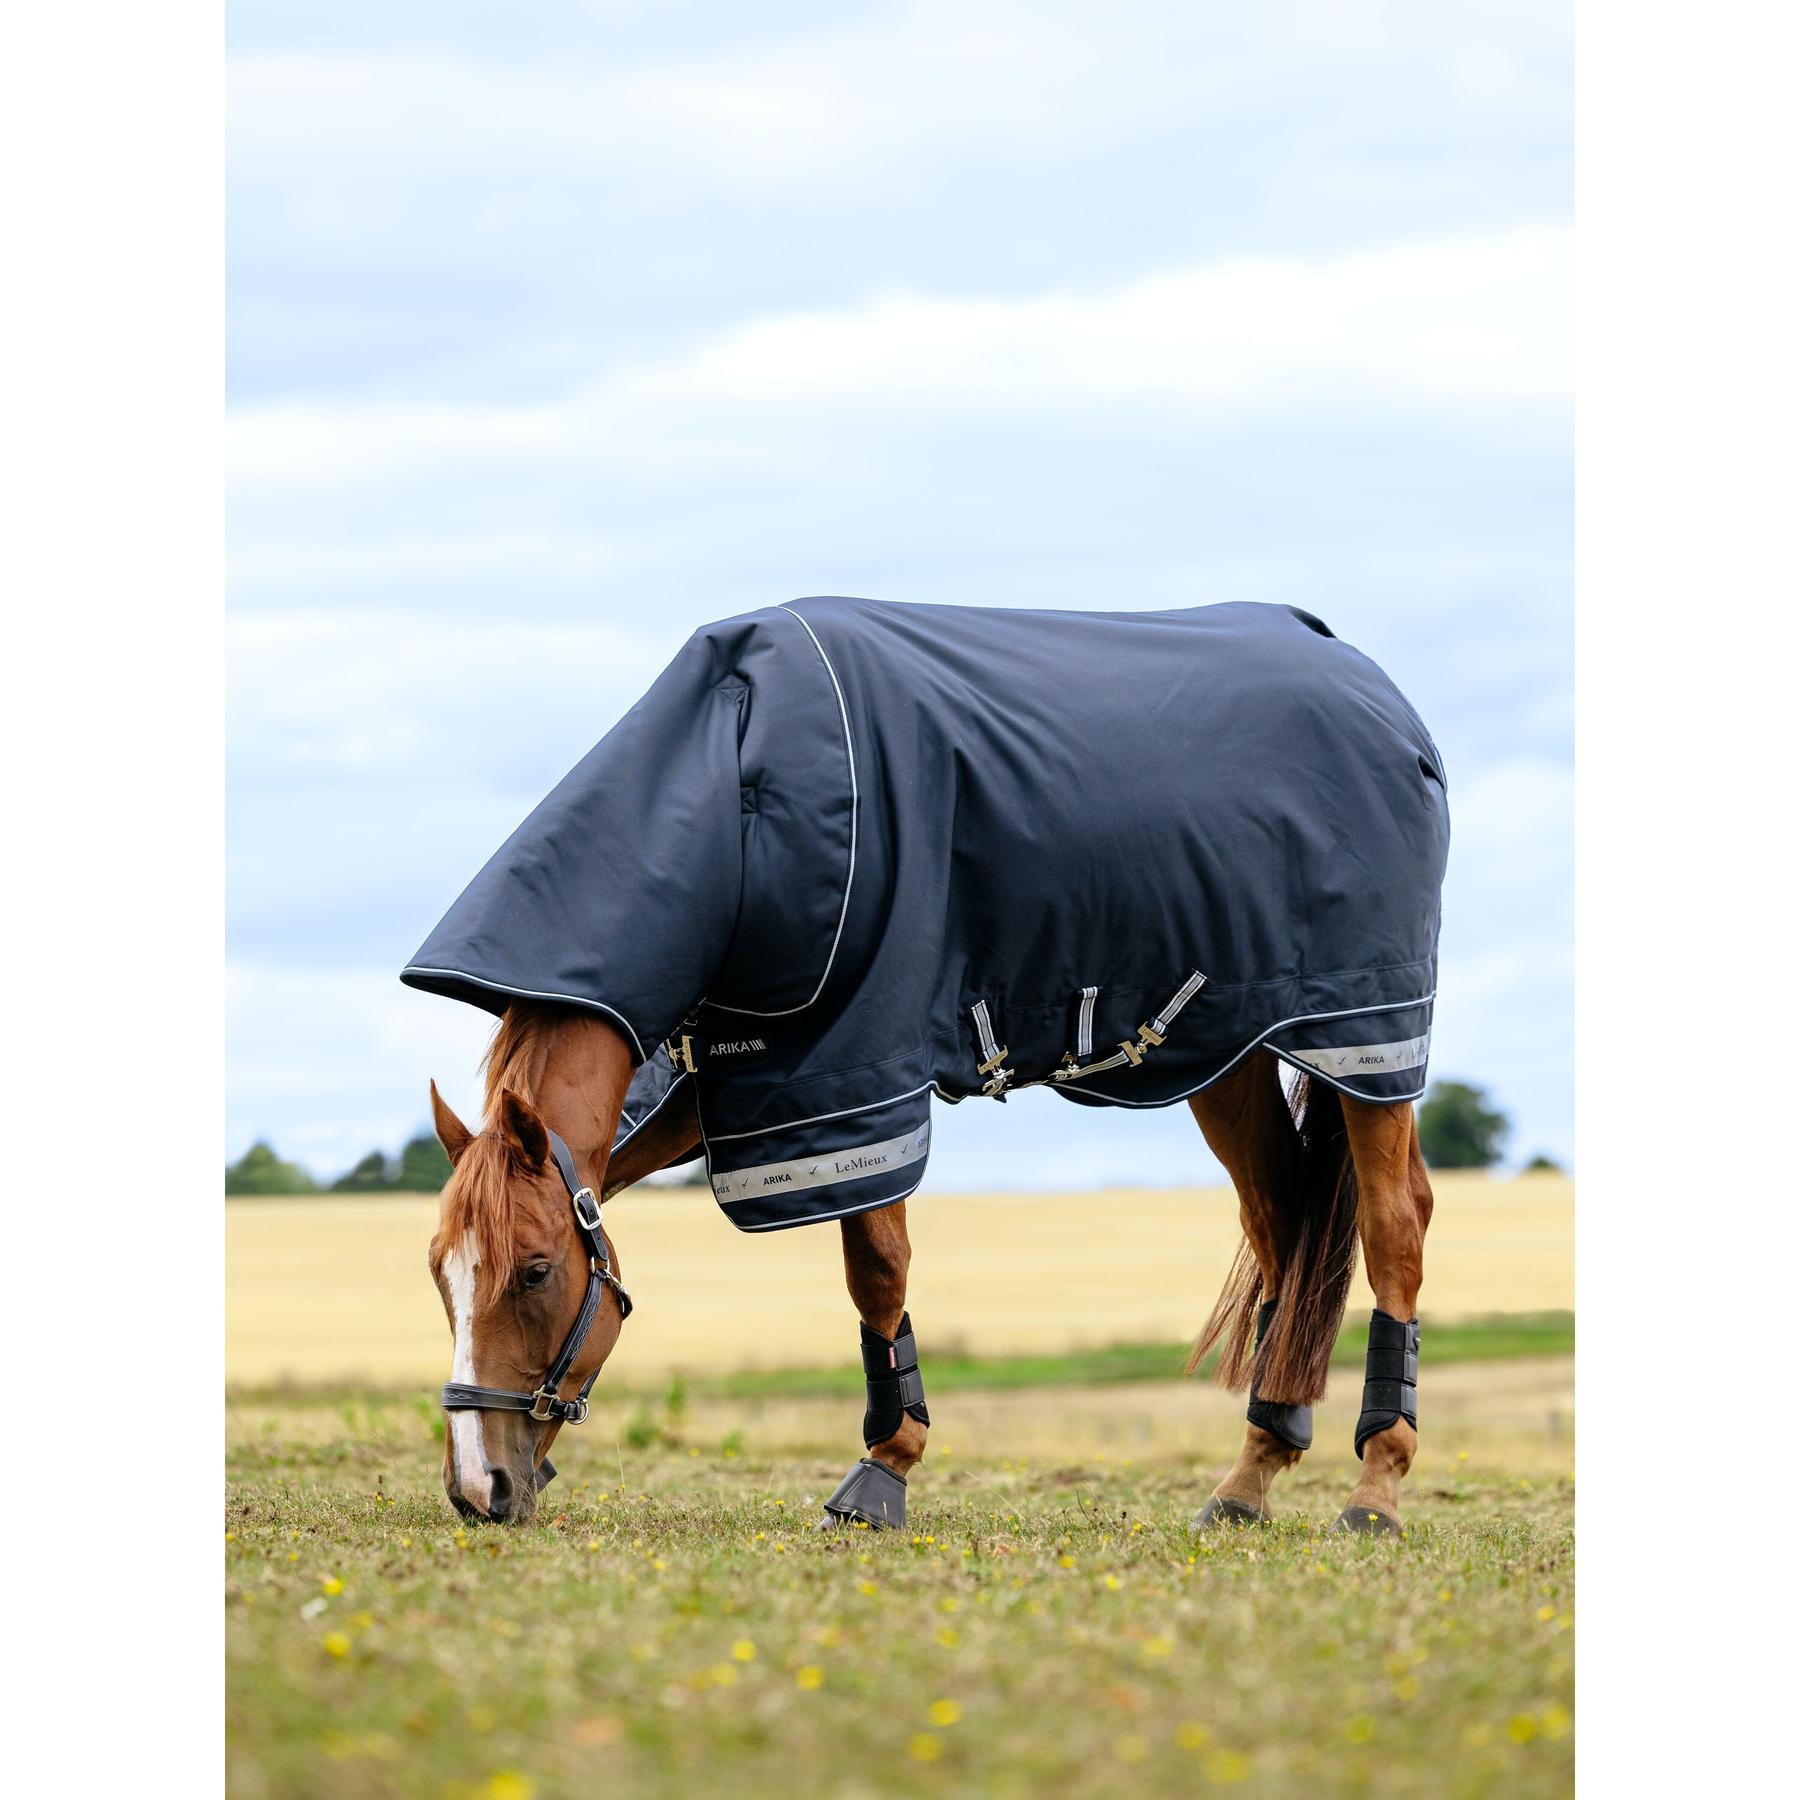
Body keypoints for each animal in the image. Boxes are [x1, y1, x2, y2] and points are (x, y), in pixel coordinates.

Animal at [412, 597, 1446, 1533]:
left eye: (536, 1272)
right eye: (438, 1273)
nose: (478, 1488)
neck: (734, 786)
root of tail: (1371, 685)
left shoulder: (853, 1067)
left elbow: (877, 1268)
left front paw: (884, 1469)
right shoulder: (718, 1082)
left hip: (1363, 1034)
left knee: (1394, 1223)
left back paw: (1376, 1487)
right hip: (1230, 1050)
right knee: (1285, 1221)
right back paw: (1252, 1471)